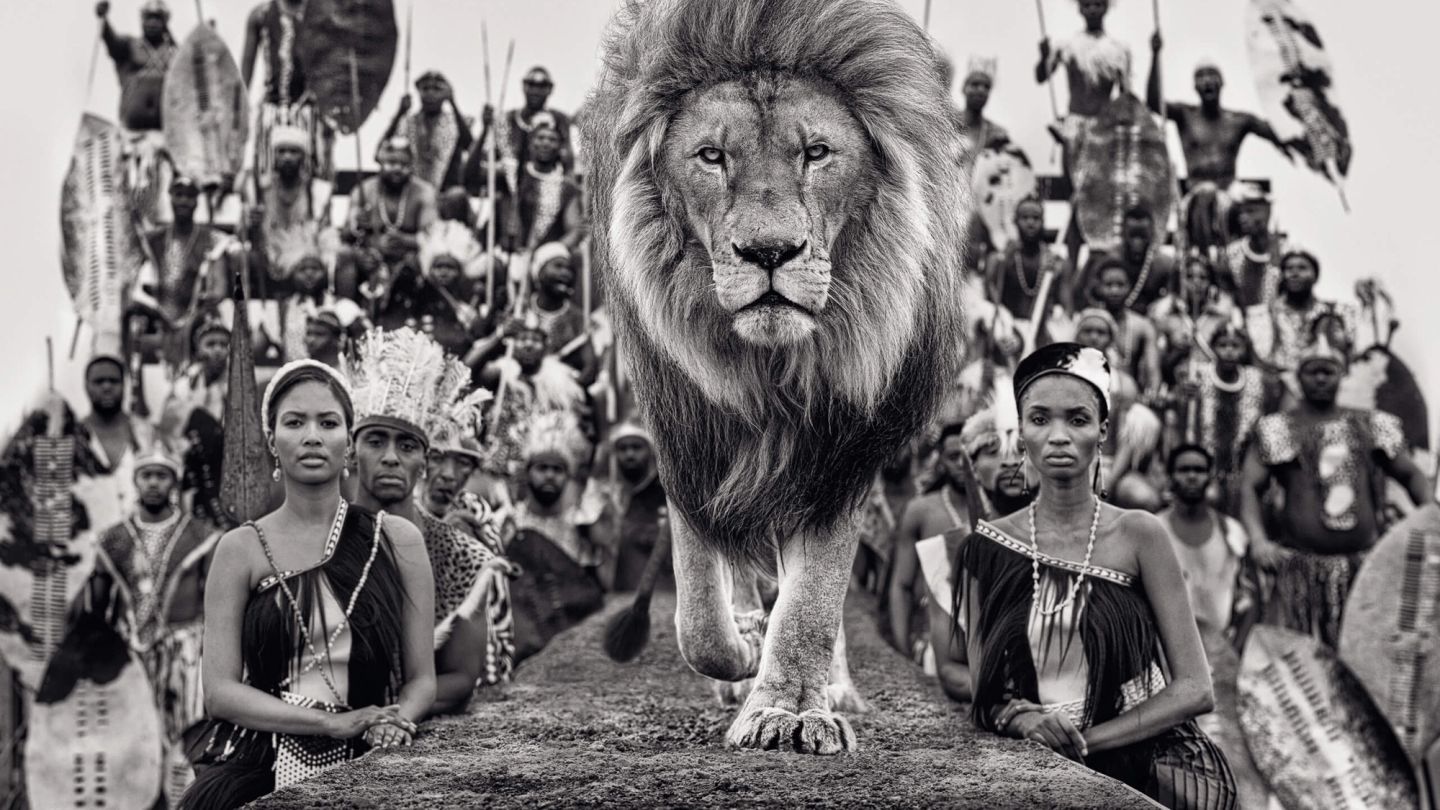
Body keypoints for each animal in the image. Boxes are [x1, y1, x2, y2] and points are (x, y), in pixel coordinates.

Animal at [584, 0, 969, 754]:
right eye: (712, 156)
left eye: (815, 153)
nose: (769, 252)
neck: (769, 370)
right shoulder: (688, 442)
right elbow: (699, 614)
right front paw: (743, 654)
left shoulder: (838, 451)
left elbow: (814, 598)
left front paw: (790, 708)